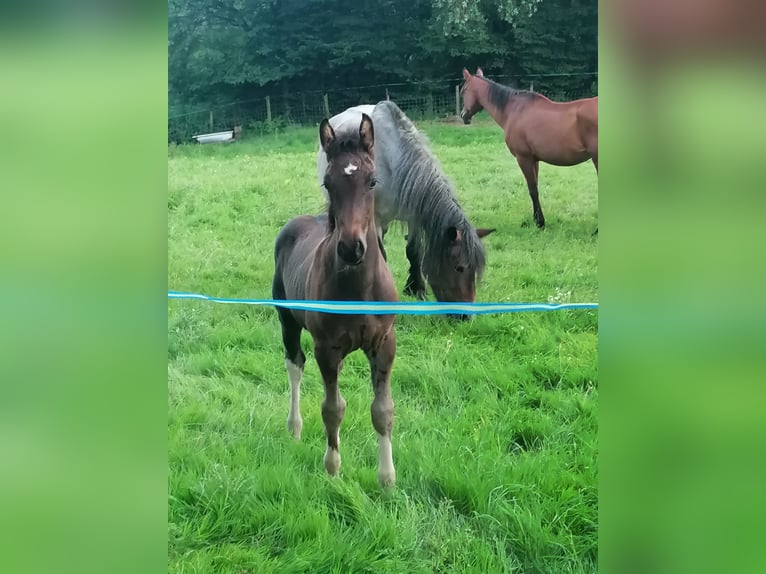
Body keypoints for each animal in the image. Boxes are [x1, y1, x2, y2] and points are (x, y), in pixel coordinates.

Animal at [272, 115, 400, 488]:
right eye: (328, 184)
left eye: (372, 181)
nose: (351, 248)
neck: (359, 288)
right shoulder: (326, 348)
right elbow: (332, 408)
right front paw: (332, 467)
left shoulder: (384, 343)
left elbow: (382, 410)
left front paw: (387, 479)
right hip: (287, 320)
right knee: (295, 364)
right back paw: (294, 426)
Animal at [316, 101, 492, 312]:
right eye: (459, 267)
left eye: (474, 270)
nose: (465, 316)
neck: (392, 162)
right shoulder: (375, 218)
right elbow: (381, 253)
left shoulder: (412, 215)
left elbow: (414, 251)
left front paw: (417, 289)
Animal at [462, 68, 600, 230]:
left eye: (464, 90)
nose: (464, 115)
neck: (513, 110)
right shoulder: (535, 160)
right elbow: (536, 188)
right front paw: (537, 220)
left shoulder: (524, 158)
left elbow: (532, 190)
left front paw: (539, 223)